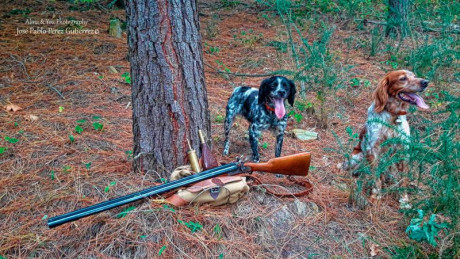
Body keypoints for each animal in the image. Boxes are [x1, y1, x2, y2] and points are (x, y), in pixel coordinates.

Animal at [340, 70, 430, 208]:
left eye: (414, 76)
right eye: (403, 78)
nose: (425, 82)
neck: (393, 115)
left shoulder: (403, 150)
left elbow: (403, 179)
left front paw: (404, 200)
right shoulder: (373, 150)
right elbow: (376, 178)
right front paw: (376, 196)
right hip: (357, 157)